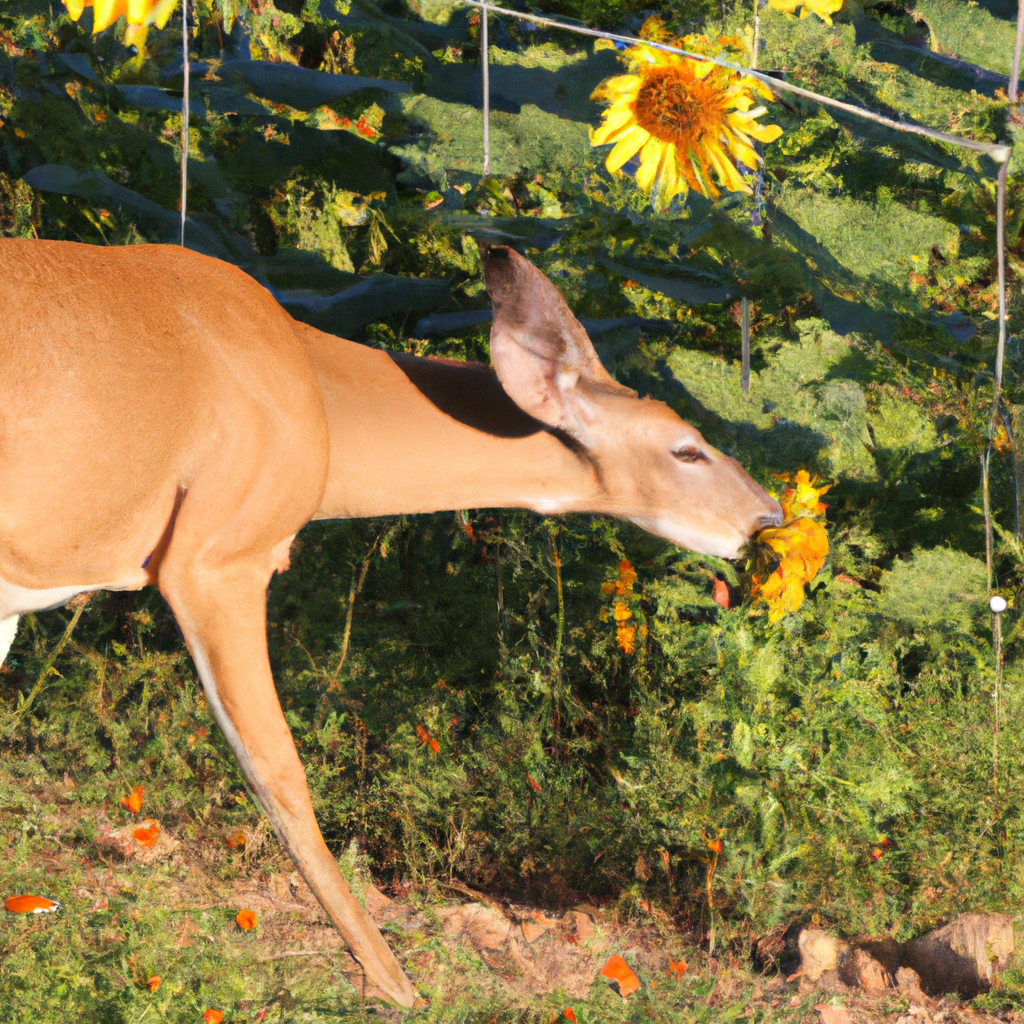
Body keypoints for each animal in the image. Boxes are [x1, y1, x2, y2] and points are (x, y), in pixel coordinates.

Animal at [0, 237, 778, 1007]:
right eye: (686, 447)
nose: (766, 513)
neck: (318, 400)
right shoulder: (216, 555)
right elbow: (280, 772)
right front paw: (395, 984)